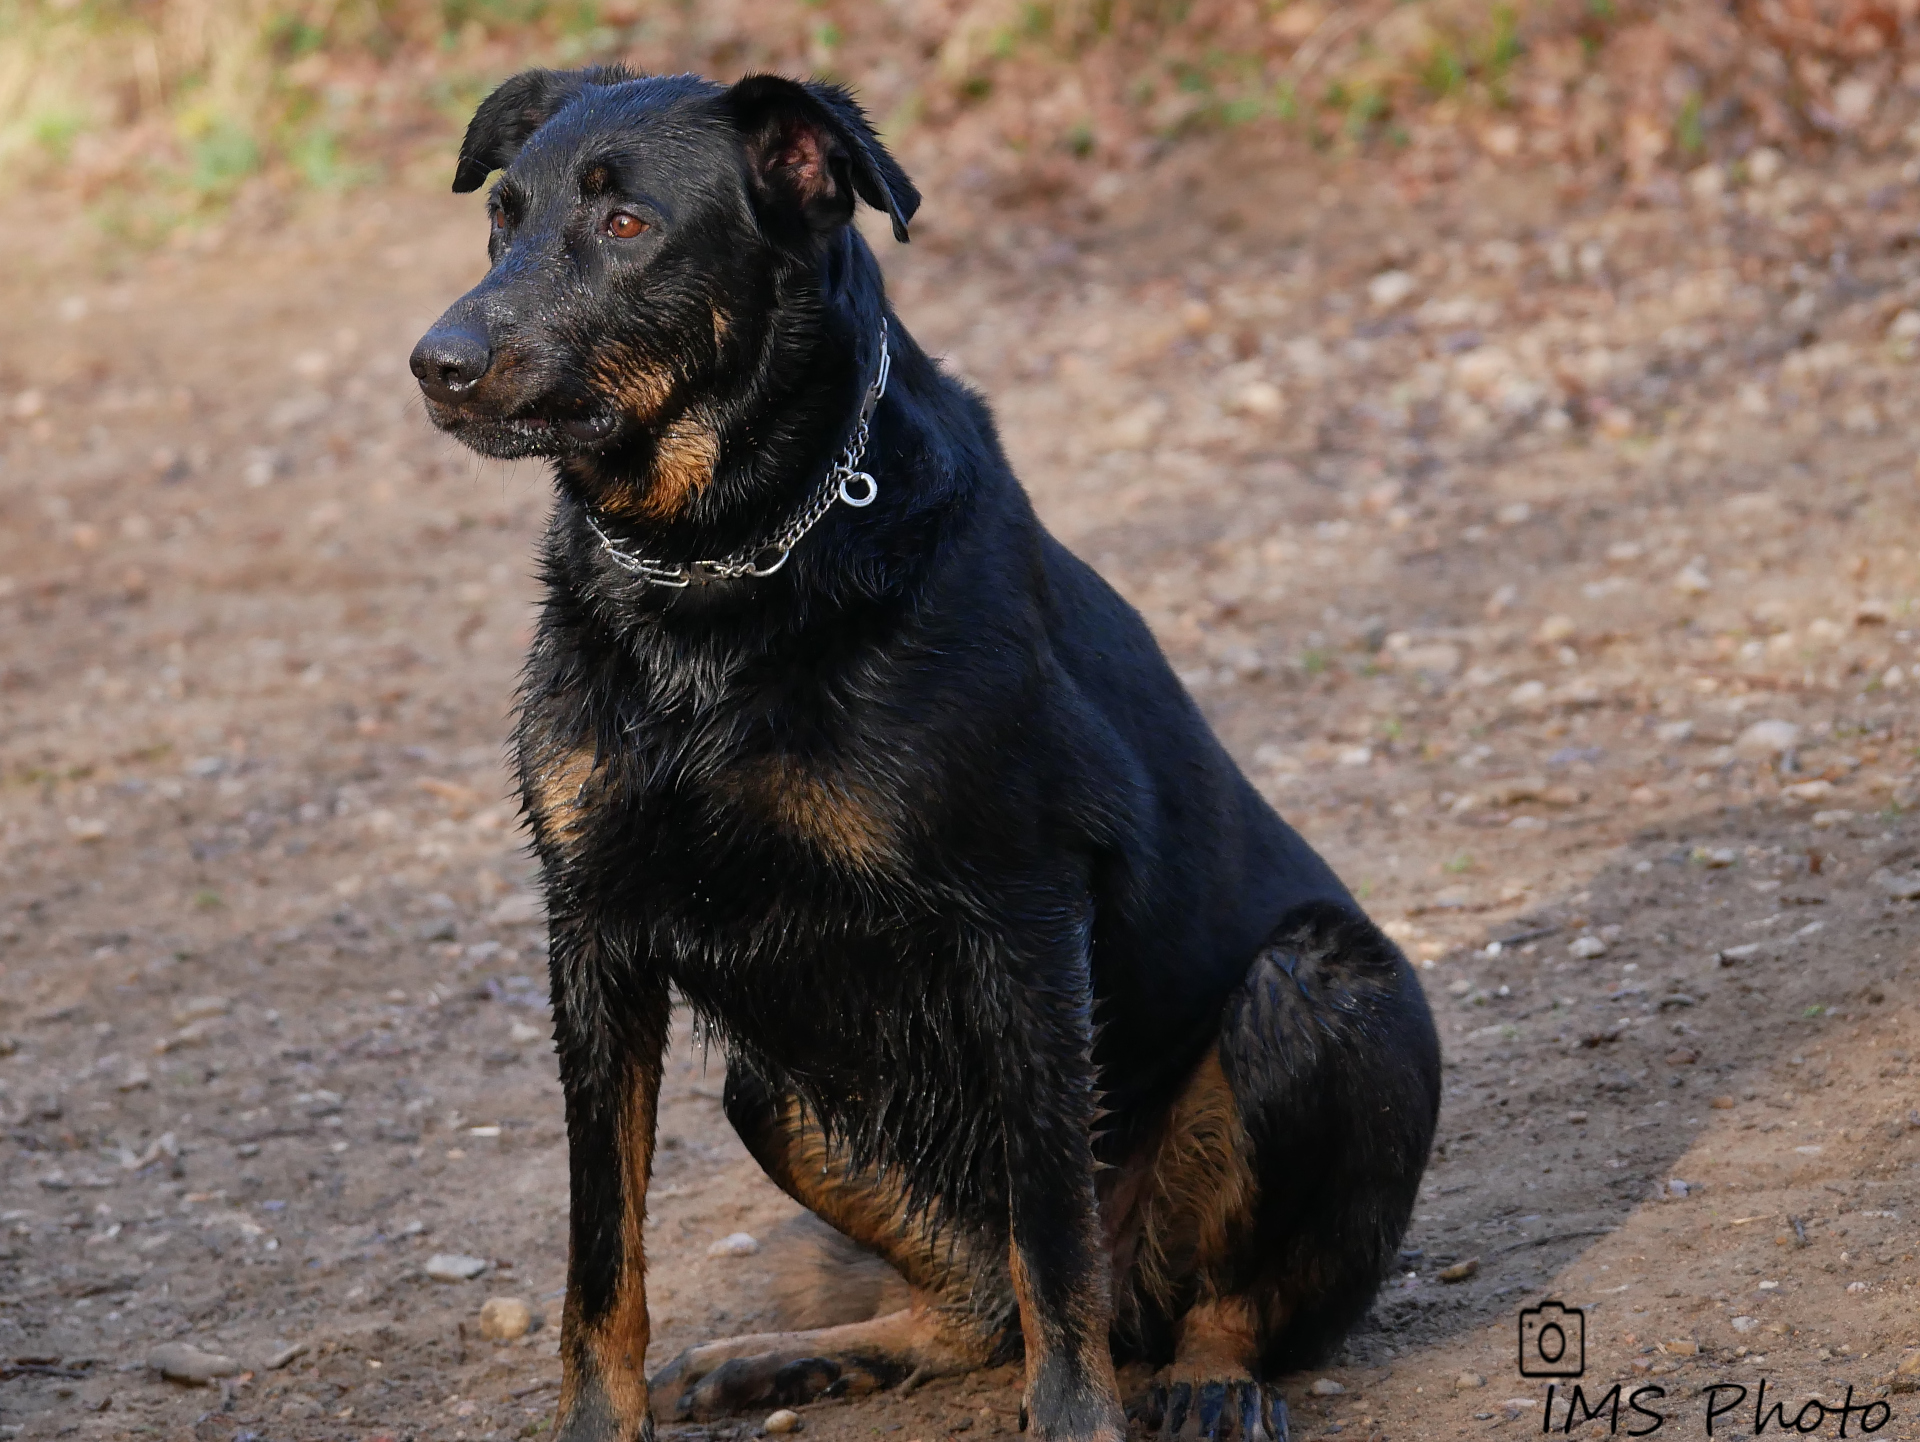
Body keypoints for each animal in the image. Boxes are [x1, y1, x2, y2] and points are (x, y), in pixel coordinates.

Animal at [416, 70, 1443, 1442]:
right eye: (502, 220)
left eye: (627, 224)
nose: (437, 362)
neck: (715, 574)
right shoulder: (592, 936)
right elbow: (602, 1262)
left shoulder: (1023, 920)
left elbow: (1053, 1243)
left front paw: (1078, 1423)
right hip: (774, 1088)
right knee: (976, 1306)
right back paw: (783, 1357)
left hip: (1324, 994)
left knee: (1197, 1300)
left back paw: (1209, 1379)